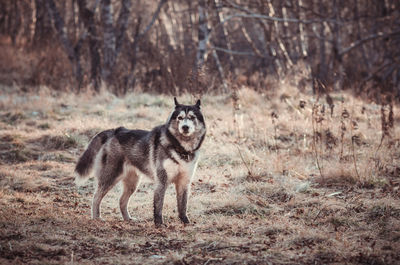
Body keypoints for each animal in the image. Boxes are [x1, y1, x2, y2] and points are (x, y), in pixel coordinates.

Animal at [74, 97, 206, 225]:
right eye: (180, 118)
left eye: (192, 117)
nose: (185, 127)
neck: (181, 148)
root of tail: (116, 130)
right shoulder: (161, 181)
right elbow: (159, 205)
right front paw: (159, 224)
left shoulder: (184, 182)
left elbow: (182, 206)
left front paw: (185, 222)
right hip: (111, 177)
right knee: (96, 197)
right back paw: (96, 217)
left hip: (133, 183)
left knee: (121, 200)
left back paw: (127, 218)